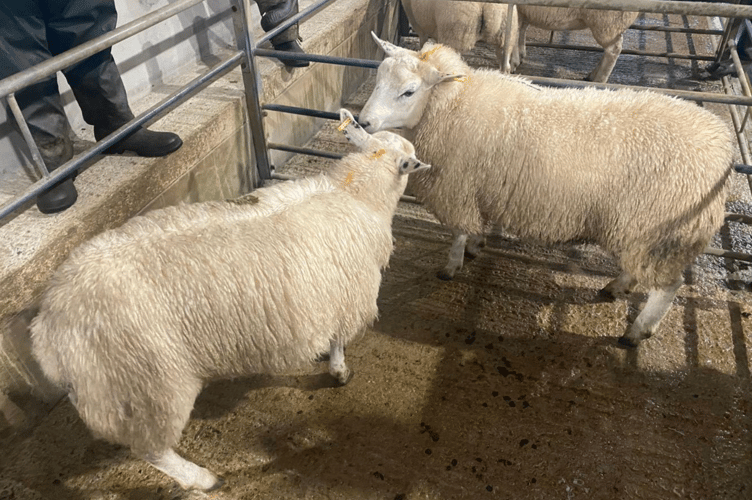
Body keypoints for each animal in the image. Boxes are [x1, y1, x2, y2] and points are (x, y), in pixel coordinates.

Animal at [29, 108, 430, 492]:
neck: (354, 193)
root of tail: (48, 328)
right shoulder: (347, 296)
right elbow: (338, 343)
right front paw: (339, 371)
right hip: (148, 387)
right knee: (152, 450)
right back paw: (201, 479)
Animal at [359, 34, 734, 349]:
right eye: (378, 79)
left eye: (408, 92)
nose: (363, 122)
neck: (452, 106)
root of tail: (722, 146)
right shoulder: (478, 188)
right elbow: (476, 226)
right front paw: (478, 246)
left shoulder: (458, 187)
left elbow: (458, 233)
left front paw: (452, 266)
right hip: (641, 231)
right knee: (640, 270)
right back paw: (618, 286)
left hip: (662, 234)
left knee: (668, 288)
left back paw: (636, 331)